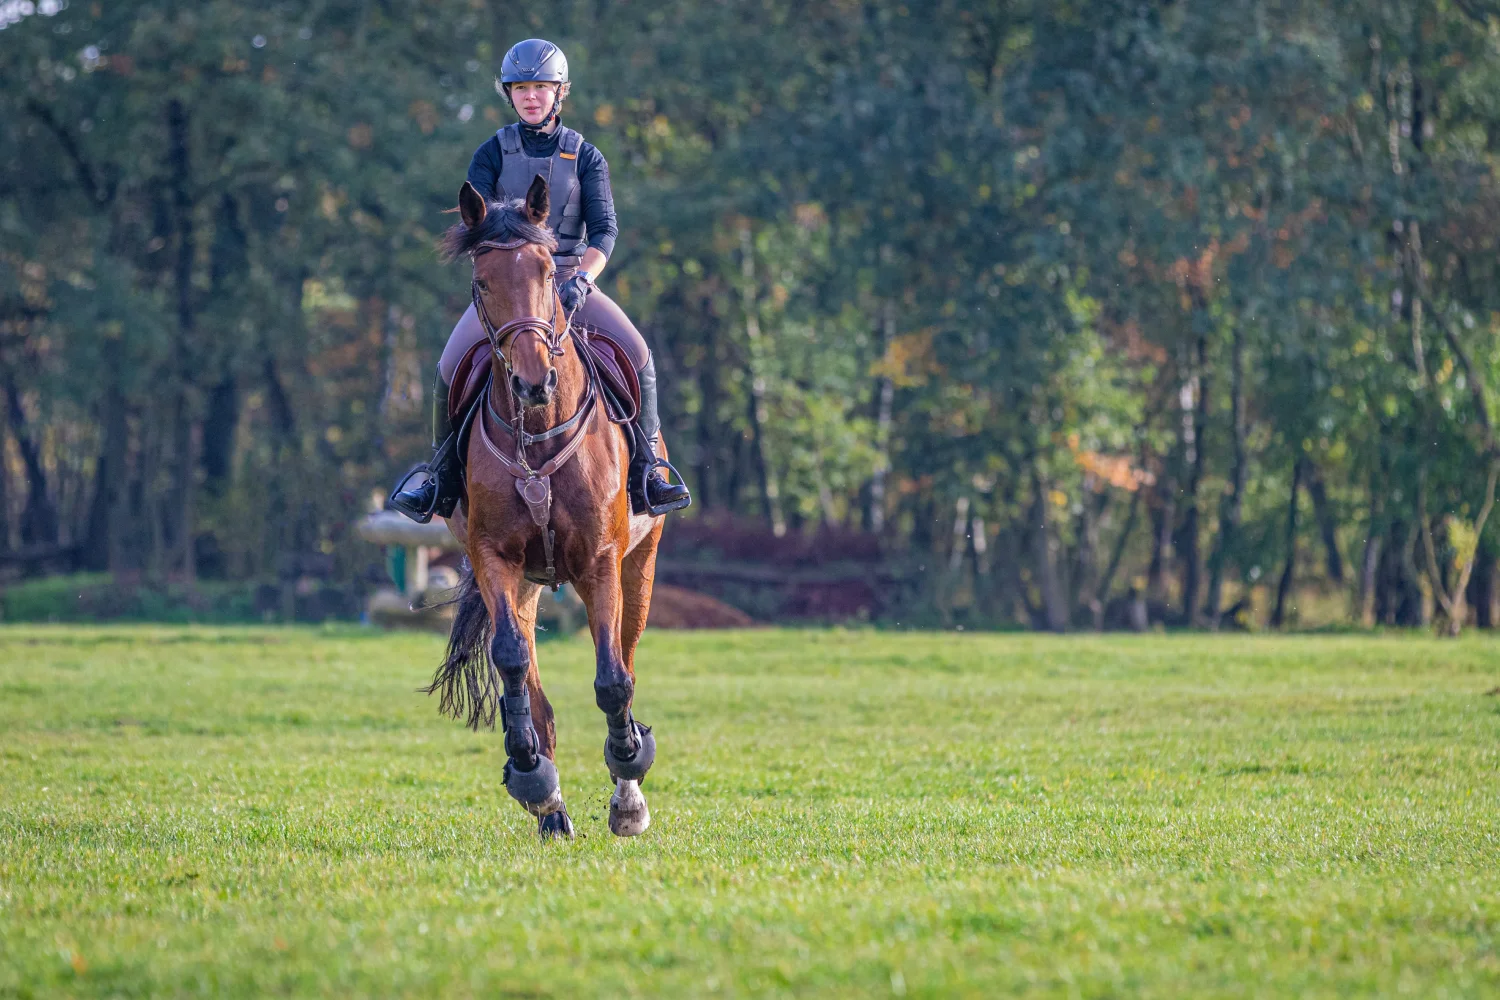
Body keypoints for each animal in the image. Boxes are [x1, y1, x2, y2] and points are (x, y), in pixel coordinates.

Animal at [420, 176, 660, 839]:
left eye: (551, 272)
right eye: (482, 281)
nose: (534, 383)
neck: (539, 434)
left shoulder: (601, 562)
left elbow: (612, 680)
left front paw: (628, 773)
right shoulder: (492, 557)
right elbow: (509, 660)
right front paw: (530, 774)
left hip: (640, 563)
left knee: (627, 656)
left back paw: (627, 789)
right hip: (526, 582)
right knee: (529, 672)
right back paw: (549, 806)